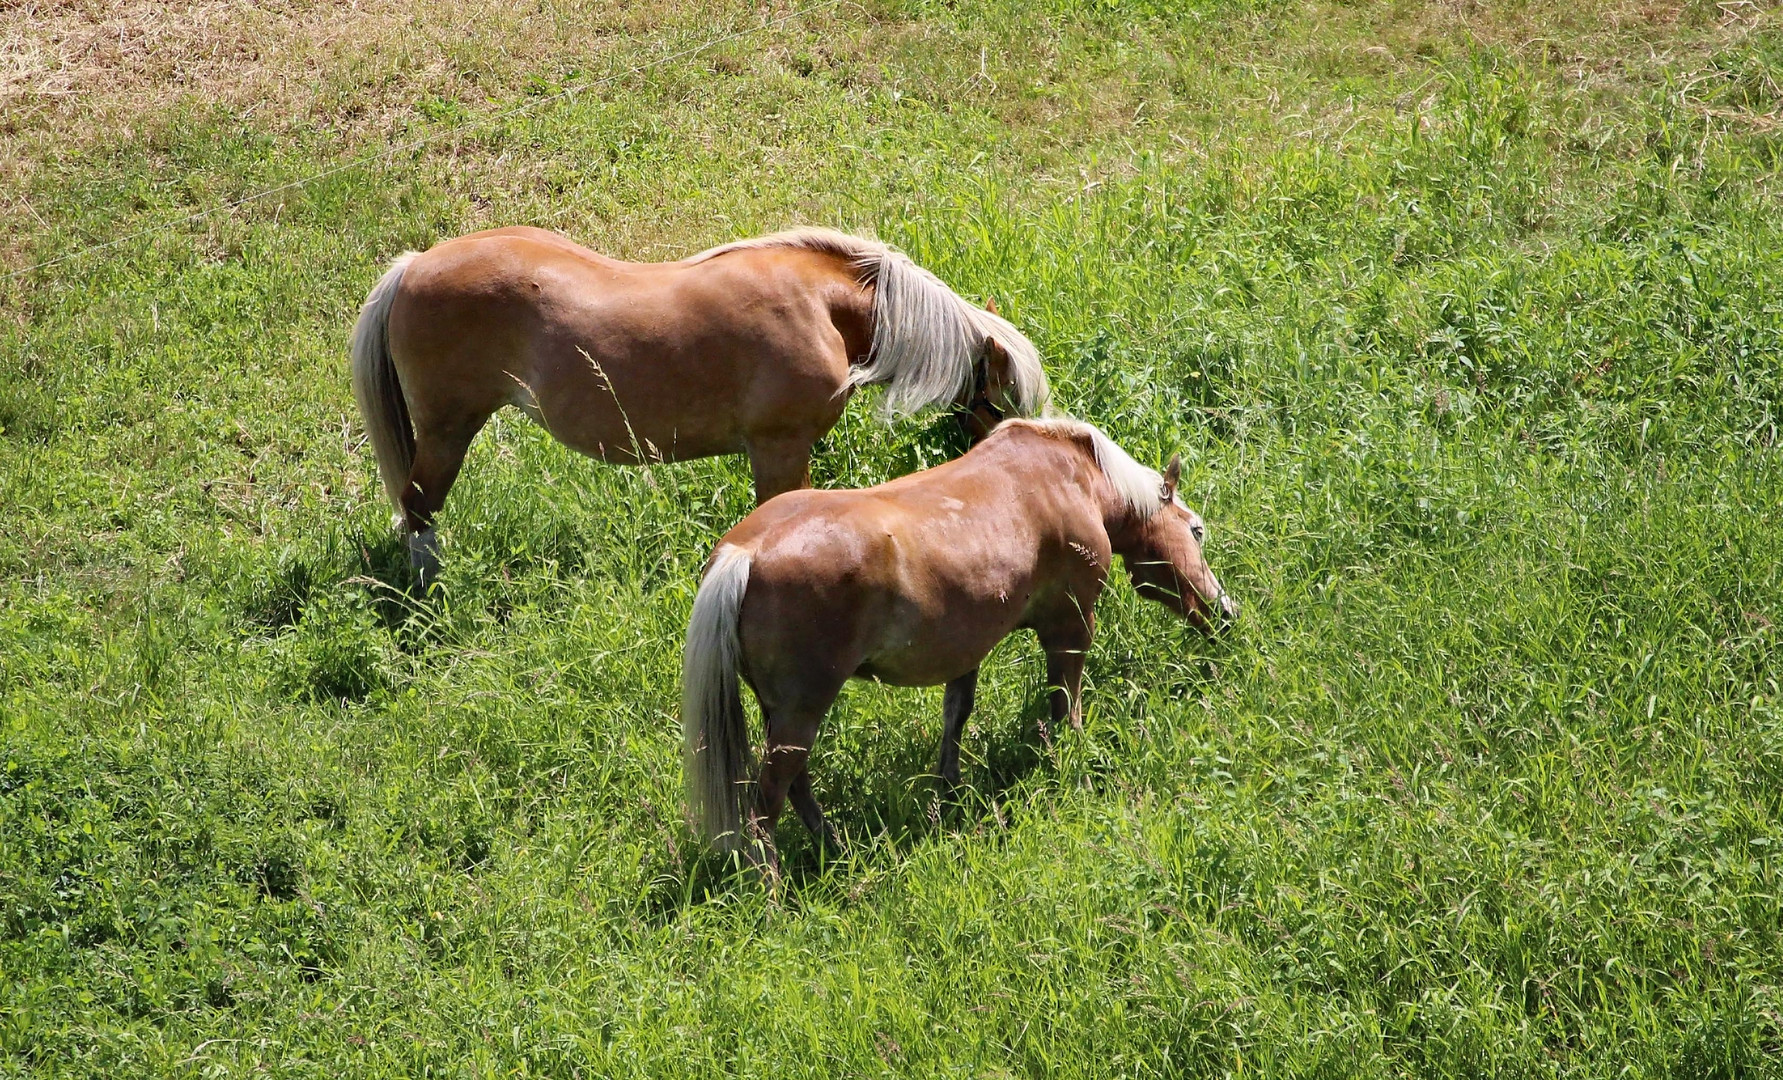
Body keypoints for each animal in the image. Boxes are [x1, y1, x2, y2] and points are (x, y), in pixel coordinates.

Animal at [347, 227, 1041, 584]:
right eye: (1000, 401)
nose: (1009, 469)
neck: (820, 308)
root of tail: (413, 266)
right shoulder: (780, 448)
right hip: (447, 431)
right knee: (418, 509)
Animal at [673, 415, 1233, 873]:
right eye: (1197, 530)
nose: (1226, 614)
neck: (1072, 480)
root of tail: (745, 553)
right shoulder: (1071, 629)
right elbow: (1065, 704)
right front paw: (1070, 761)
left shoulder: (967, 648)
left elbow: (955, 718)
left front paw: (950, 794)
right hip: (801, 712)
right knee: (764, 807)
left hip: (783, 714)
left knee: (796, 787)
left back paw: (837, 847)